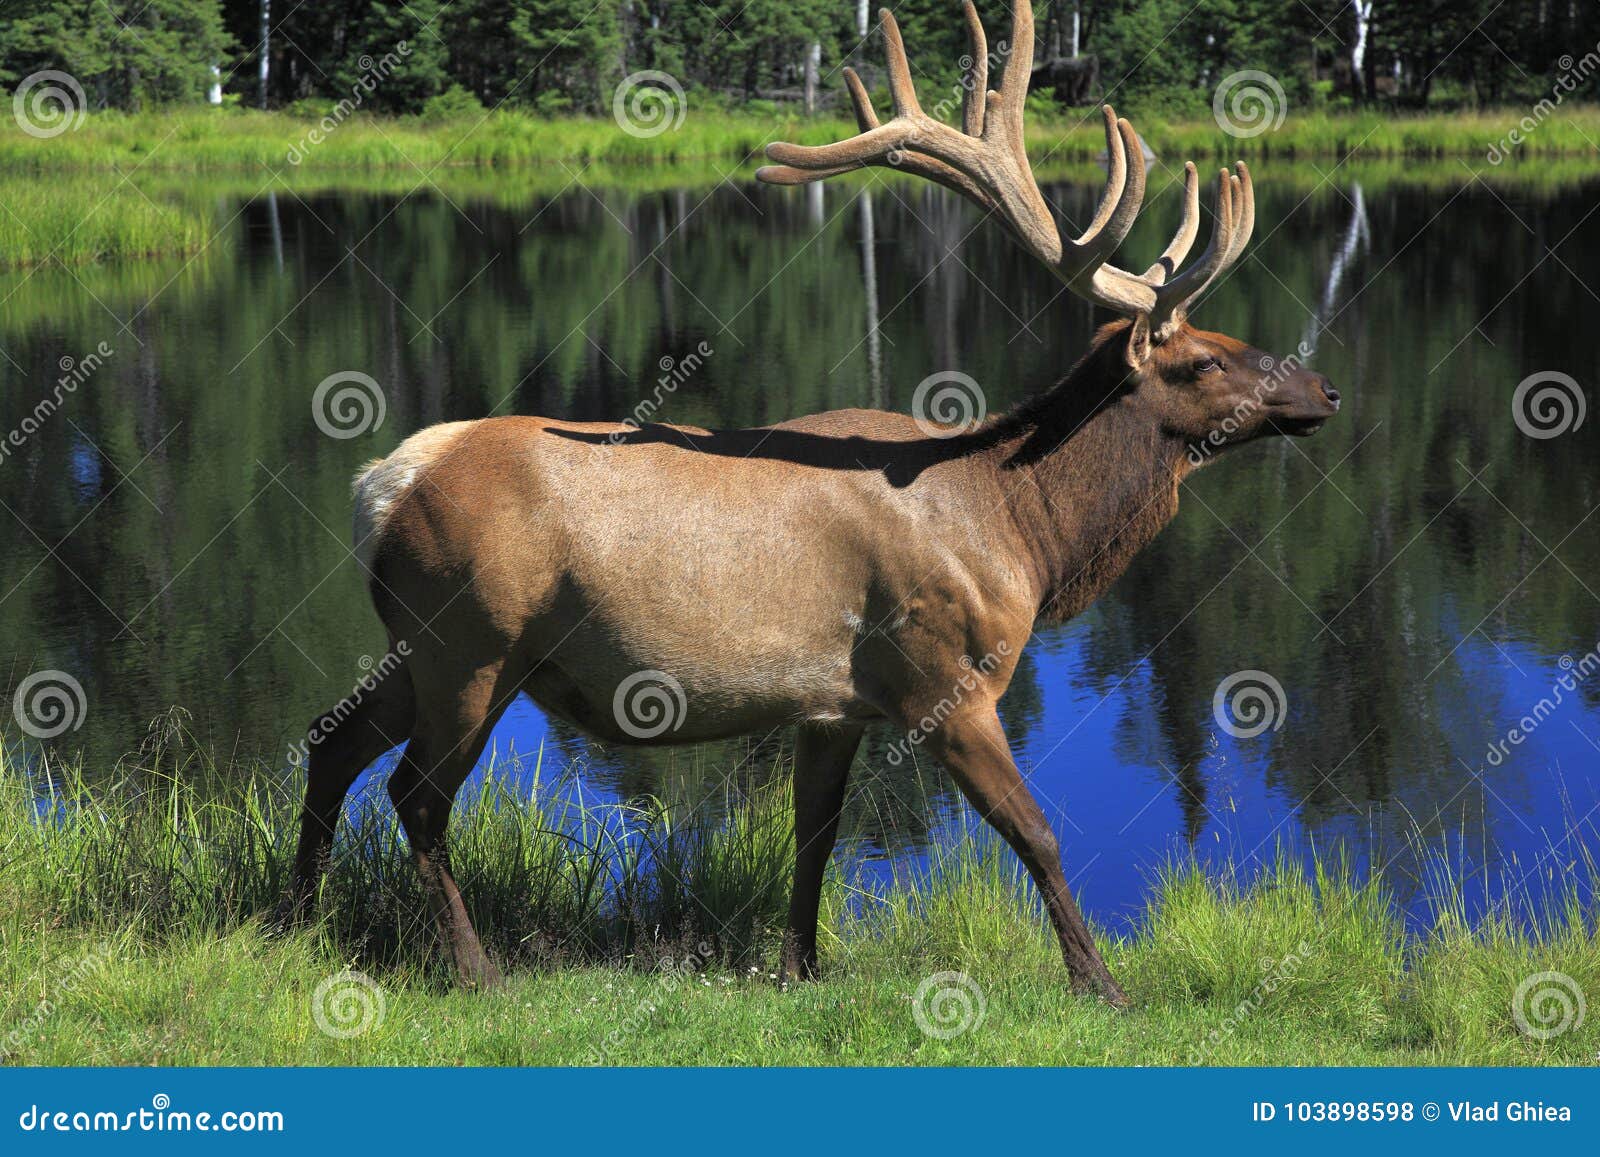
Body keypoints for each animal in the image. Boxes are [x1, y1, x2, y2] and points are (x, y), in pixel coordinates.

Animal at [284, 2, 1337, 1004]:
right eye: (1202, 362)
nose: (1323, 389)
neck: (1021, 532)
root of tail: (383, 486)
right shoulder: (944, 678)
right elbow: (1035, 833)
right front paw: (1101, 983)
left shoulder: (835, 703)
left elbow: (815, 837)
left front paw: (799, 965)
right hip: (474, 644)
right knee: (417, 795)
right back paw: (472, 967)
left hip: (421, 647)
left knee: (329, 742)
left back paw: (293, 922)